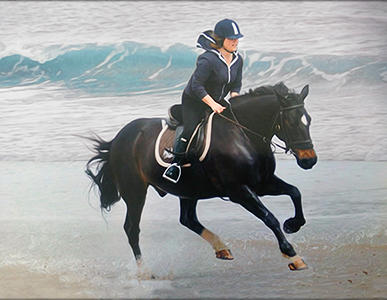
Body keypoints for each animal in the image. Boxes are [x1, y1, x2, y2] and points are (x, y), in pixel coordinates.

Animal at [86, 82, 316, 274]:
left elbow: (295, 192)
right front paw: (293, 255)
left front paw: (293, 224)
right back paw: (144, 272)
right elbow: (270, 218)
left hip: (188, 189)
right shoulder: (239, 191)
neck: (244, 135)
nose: (310, 160)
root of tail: (118, 138)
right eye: (292, 122)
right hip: (135, 192)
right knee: (132, 229)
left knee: (188, 219)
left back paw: (221, 248)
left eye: (309, 121)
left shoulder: (263, 183)